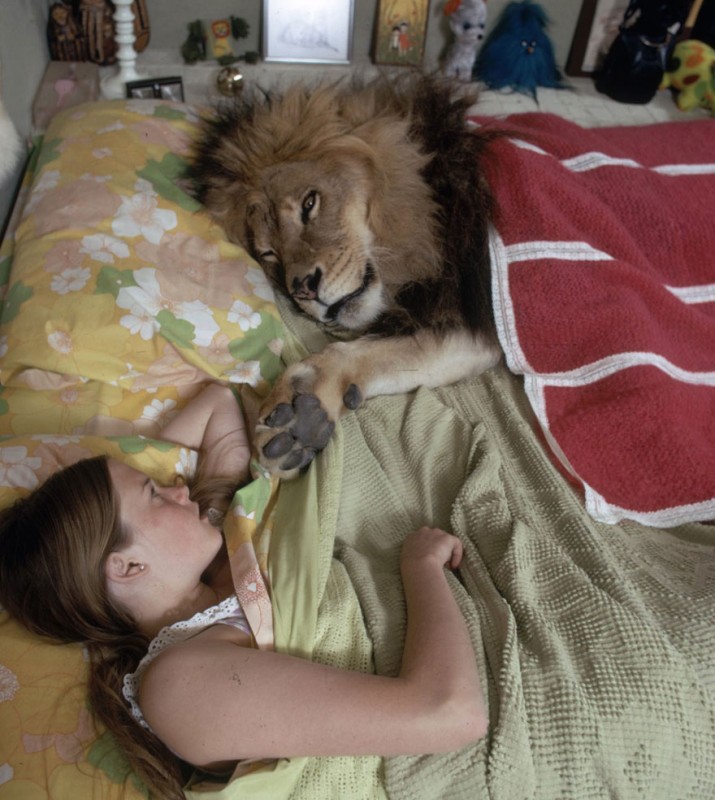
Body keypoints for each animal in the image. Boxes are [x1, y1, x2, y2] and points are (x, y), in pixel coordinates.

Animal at [190, 73, 504, 476]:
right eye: (268, 253)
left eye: (309, 204)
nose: (303, 289)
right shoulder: (475, 322)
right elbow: (380, 353)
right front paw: (300, 416)